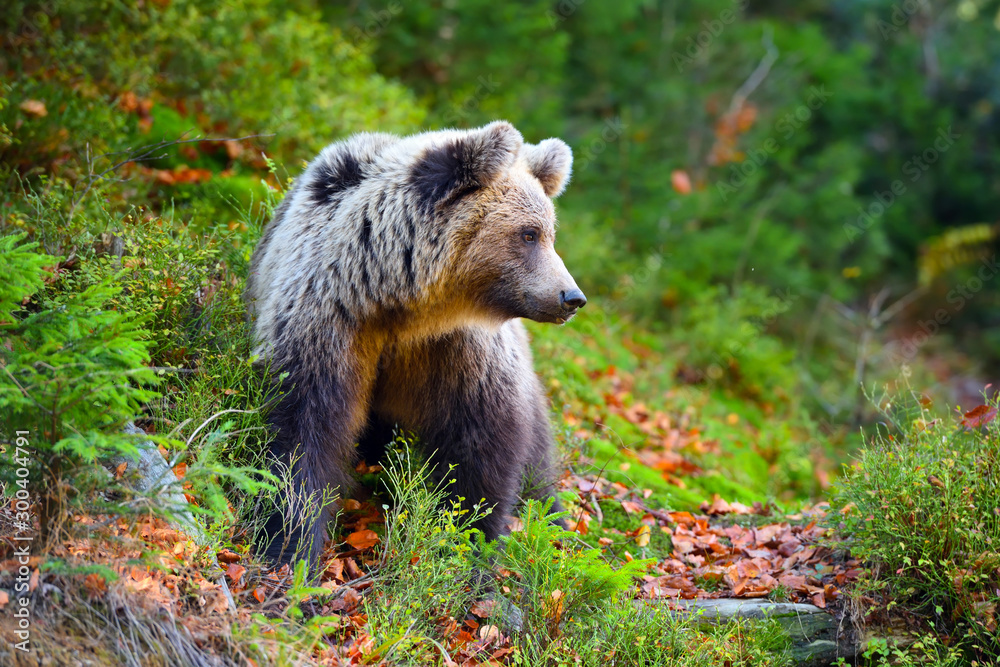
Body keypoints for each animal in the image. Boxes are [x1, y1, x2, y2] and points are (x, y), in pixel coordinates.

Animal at [245, 121, 586, 565]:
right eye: (529, 234)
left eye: (549, 233)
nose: (571, 297)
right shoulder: (328, 318)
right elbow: (302, 428)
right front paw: (288, 540)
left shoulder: (456, 349)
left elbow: (483, 443)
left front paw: (470, 538)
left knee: (538, 460)